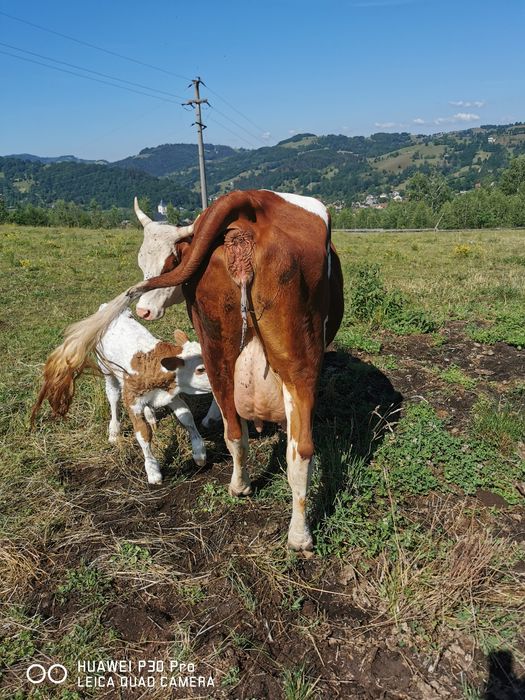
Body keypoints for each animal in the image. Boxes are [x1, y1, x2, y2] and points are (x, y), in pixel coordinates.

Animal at [31, 306, 212, 484]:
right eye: (200, 369)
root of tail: (105, 307)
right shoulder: (132, 401)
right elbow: (143, 434)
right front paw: (153, 471)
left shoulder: (172, 395)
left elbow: (187, 417)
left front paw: (199, 453)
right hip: (106, 370)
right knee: (113, 398)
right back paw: (114, 431)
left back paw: (151, 416)